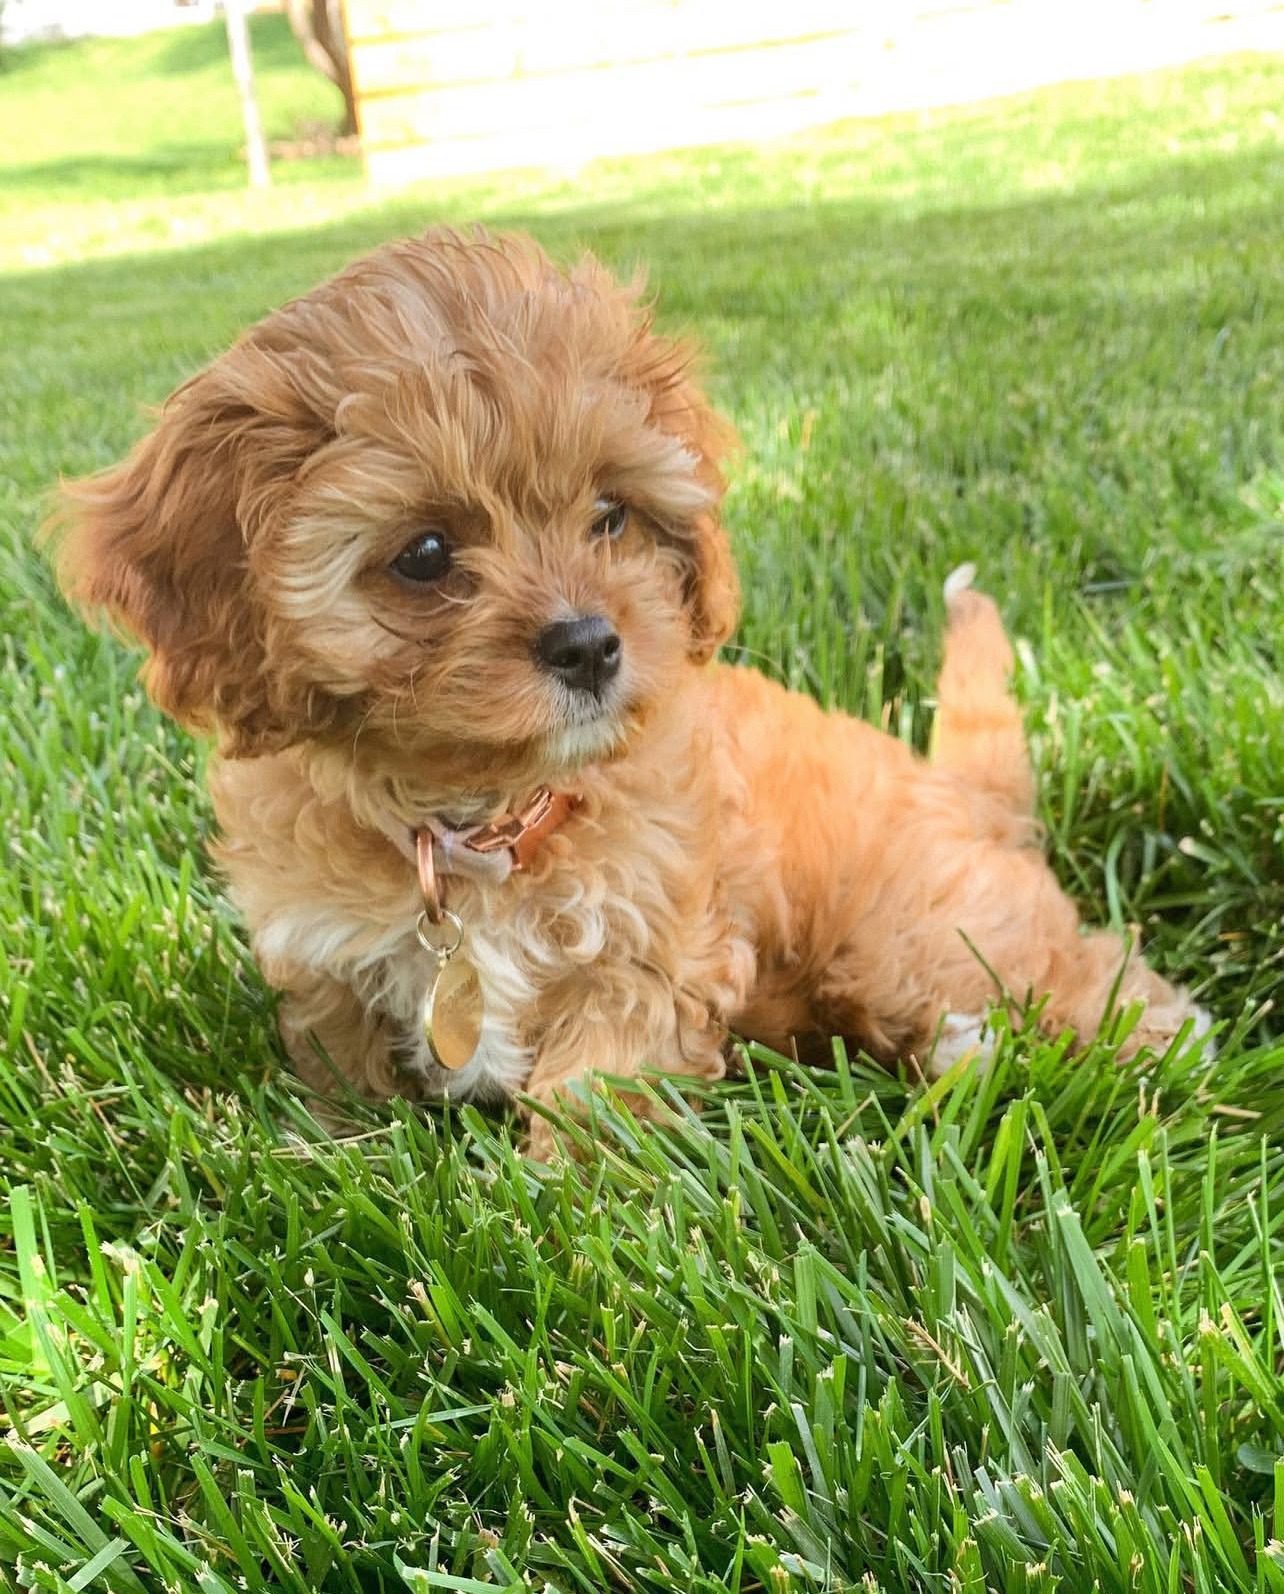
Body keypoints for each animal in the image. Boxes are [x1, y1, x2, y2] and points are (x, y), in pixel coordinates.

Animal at [51, 226, 1209, 1157]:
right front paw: (337, 1153)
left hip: (915, 928)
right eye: (424, 554)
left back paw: (1148, 1042)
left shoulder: (650, 946)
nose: (589, 645)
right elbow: (345, 1076)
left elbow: (595, 1087)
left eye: (610, 515)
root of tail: (960, 789)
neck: (487, 827)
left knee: (1067, 967)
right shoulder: (326, 960)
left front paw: (563, 1204)